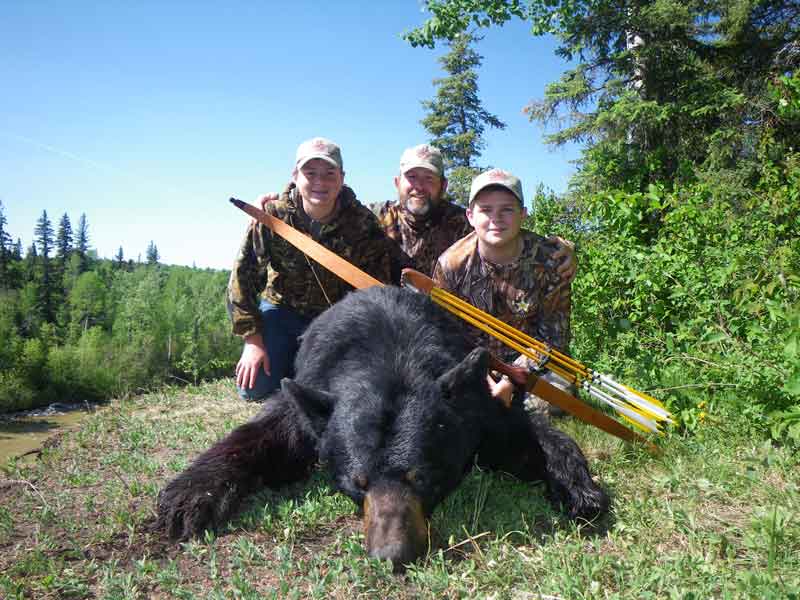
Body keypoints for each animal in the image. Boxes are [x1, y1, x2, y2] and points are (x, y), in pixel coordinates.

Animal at [156, 285, 608, 569]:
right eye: (357, 482)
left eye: (421, 476)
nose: (392, 555)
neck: (391, 357)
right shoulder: (315, 393)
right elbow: (260, 435)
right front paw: (191, 496)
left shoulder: (473, 408)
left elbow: (526, 434)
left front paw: (577, 486)